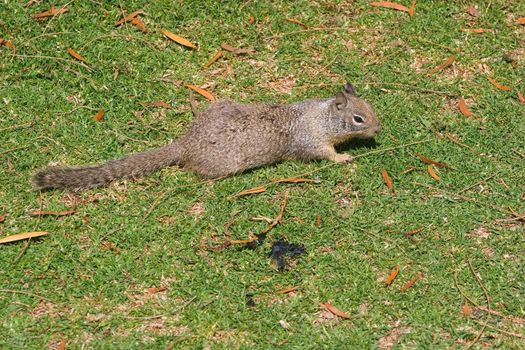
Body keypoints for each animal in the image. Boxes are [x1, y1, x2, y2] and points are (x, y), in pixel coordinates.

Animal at [33, 82, 380, 191]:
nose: (378, 129)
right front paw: (344, 158)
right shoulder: (313, 142)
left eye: (372, 109)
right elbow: (326, 155)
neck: (322, 118)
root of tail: (187, 142)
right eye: (358, 118)